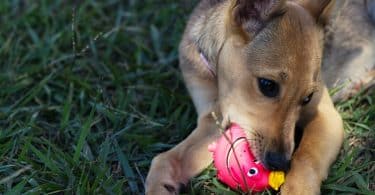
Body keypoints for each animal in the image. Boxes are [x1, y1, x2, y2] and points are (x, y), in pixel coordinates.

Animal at [145, 0, 374, 194]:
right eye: (267, 85)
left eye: (308, 98)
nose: (280, 164)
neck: (221, 84)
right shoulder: (212, 121)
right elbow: (166, 160)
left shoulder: (326, 116)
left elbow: (307, 158)